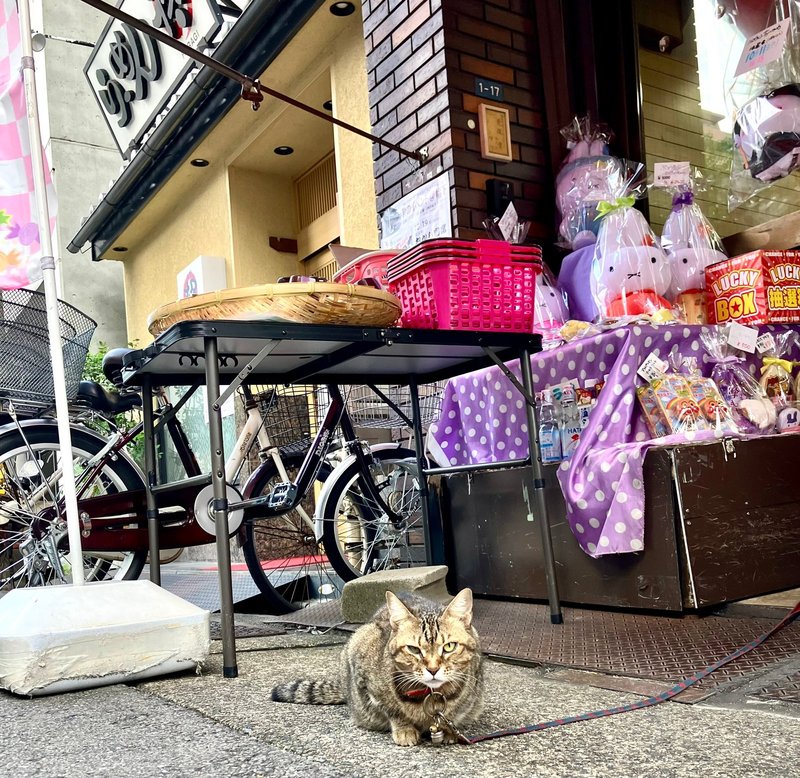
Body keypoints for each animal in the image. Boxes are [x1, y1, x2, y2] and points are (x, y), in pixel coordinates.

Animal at [271, 587, 484, 746]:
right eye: (414, 649)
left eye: (449, 647)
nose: (432, 670)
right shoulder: (366, 678)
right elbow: (393, 710)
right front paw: (405, 729)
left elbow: (452, 714)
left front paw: (448, 730)